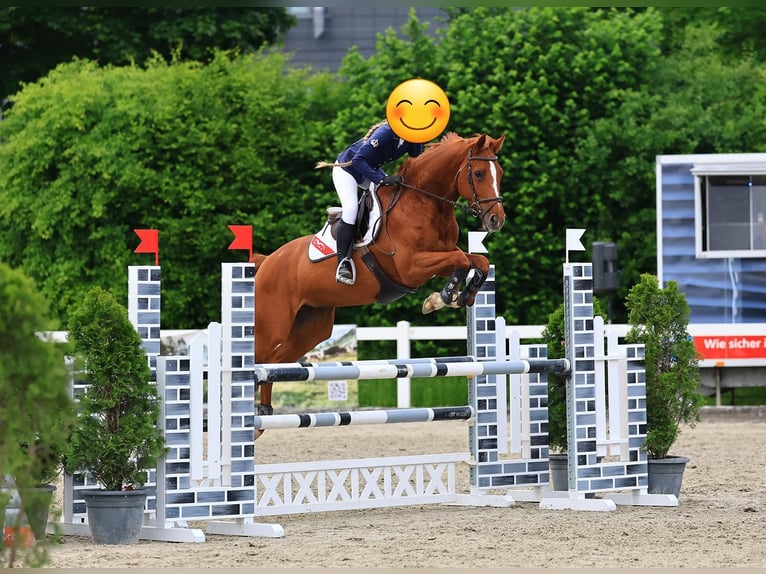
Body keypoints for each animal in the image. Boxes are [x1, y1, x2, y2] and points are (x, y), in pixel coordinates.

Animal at [253, 132, 506, 421]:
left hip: (310, 328)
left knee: (273, 364)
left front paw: (459, 296)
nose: (496, 220)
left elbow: (478, 261)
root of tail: (267, 262)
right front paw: (443, 297)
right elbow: (462, 260)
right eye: (478, 173)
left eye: (499, 172)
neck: (424, 203)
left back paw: (262, 417)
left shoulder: (439, 257)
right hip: (273, 325)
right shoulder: (410, 267)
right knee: (260, 358)